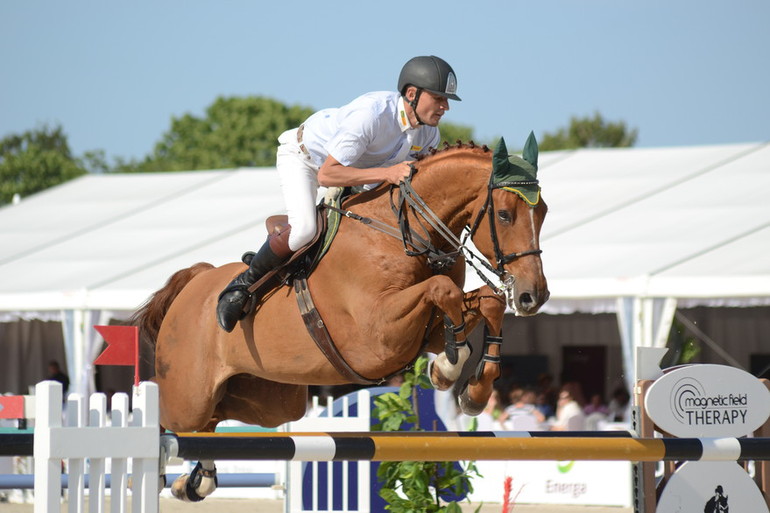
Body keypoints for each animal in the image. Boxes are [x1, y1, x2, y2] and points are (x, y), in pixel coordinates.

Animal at [135, 133, 548, 500]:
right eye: (505, 214)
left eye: (542, 212)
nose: (534, 296)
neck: (406, 231)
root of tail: (194, 280)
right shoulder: (377, 339)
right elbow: (441, 290)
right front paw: (449, 367)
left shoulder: (423, 333)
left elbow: (488, 301)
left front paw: (474, 389)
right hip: (188, 396)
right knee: (169, 422)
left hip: (270, 400)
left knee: (214, 421)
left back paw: (195, 480)